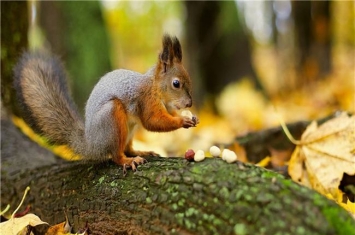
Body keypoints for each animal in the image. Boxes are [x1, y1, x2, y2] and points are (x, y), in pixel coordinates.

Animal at [13, 35, 199, 174]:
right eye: (176, 83)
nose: (189, 103)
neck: (156, 88)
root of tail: (91, 144)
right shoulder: (146, 100)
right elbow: (153, 121)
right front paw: (182, 121)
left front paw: (191, 118)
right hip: (112, 119)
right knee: (116, 155)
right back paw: (128, 160)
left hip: (129, 129)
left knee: (127, 148)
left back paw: (140, 152)